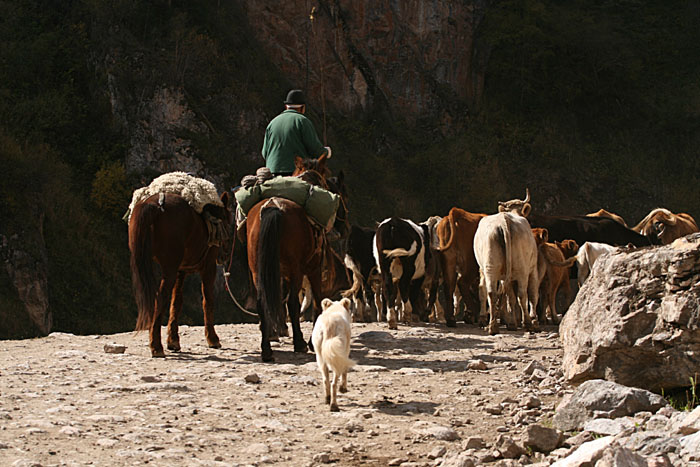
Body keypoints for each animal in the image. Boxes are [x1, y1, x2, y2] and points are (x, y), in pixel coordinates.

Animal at [129, 192, 232, 356]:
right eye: (229, 223)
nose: (225, 255)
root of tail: (154, 204)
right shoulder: (208, 267)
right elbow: (207, 300)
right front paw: (213, 339)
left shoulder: (180, 270)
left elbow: (176, 302)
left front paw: (173, 341)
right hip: (169, 269)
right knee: (160, 298)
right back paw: (156, 346)